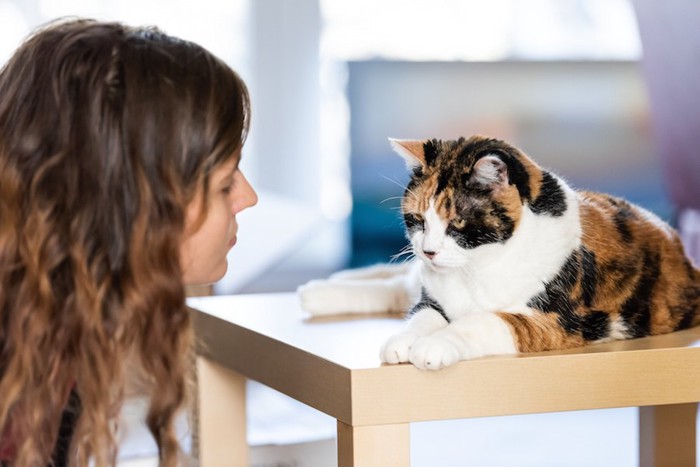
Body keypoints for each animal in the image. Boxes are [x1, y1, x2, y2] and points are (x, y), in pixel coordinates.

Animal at [298, 136, 700, 372]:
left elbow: (481, 321)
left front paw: (435, 346)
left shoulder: (557, 320)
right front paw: (404, 340)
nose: (428, 252)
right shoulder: (432, 297)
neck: (476, 269)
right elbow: (421, 316)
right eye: (417, 220)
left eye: (457, 222)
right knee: (396, 286)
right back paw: (319, 291)